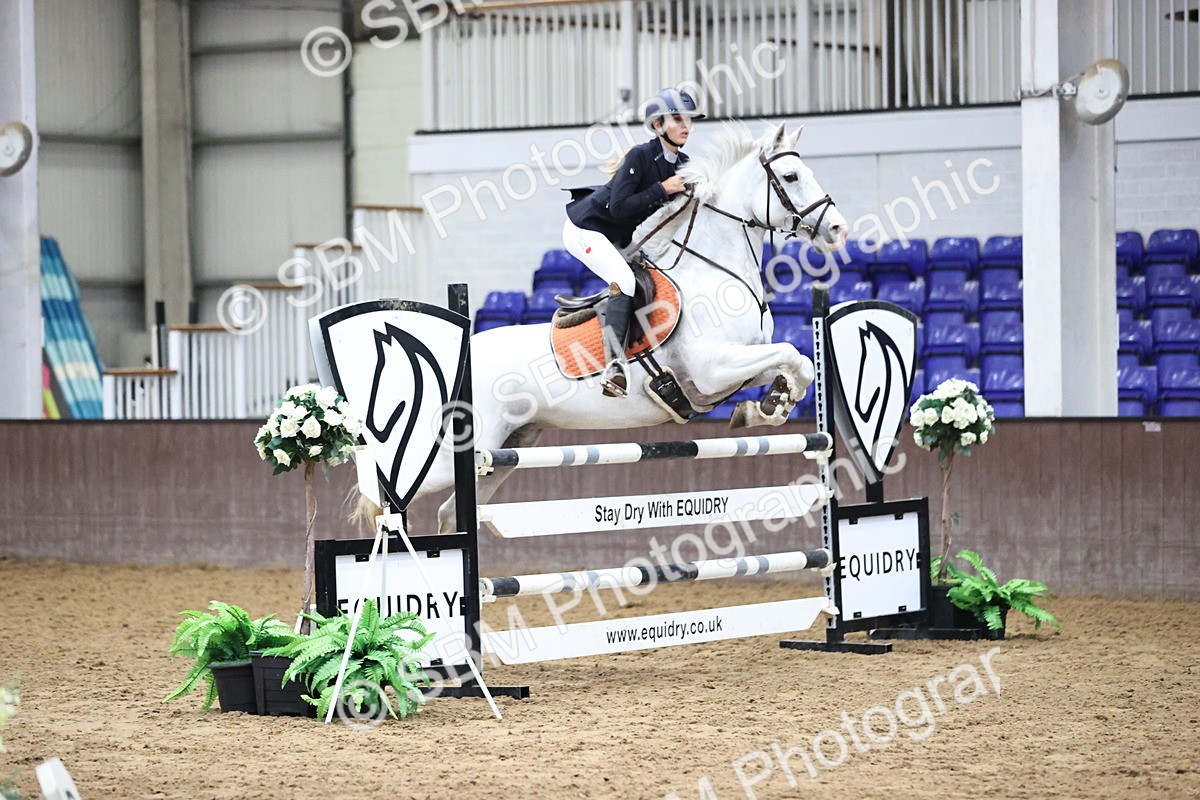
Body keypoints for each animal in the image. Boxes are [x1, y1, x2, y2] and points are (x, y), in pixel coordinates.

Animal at [370, 122, 848, 532]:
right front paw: (770, 405)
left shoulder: (736, 366)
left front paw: (771, 403)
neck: (713, 269)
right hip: (451, 457)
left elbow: (797, 361)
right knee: (383, 495)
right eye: (791, 176)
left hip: (504, 449)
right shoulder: (712, 370)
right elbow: (789, 355)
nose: (838, 229)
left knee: (449, 512)